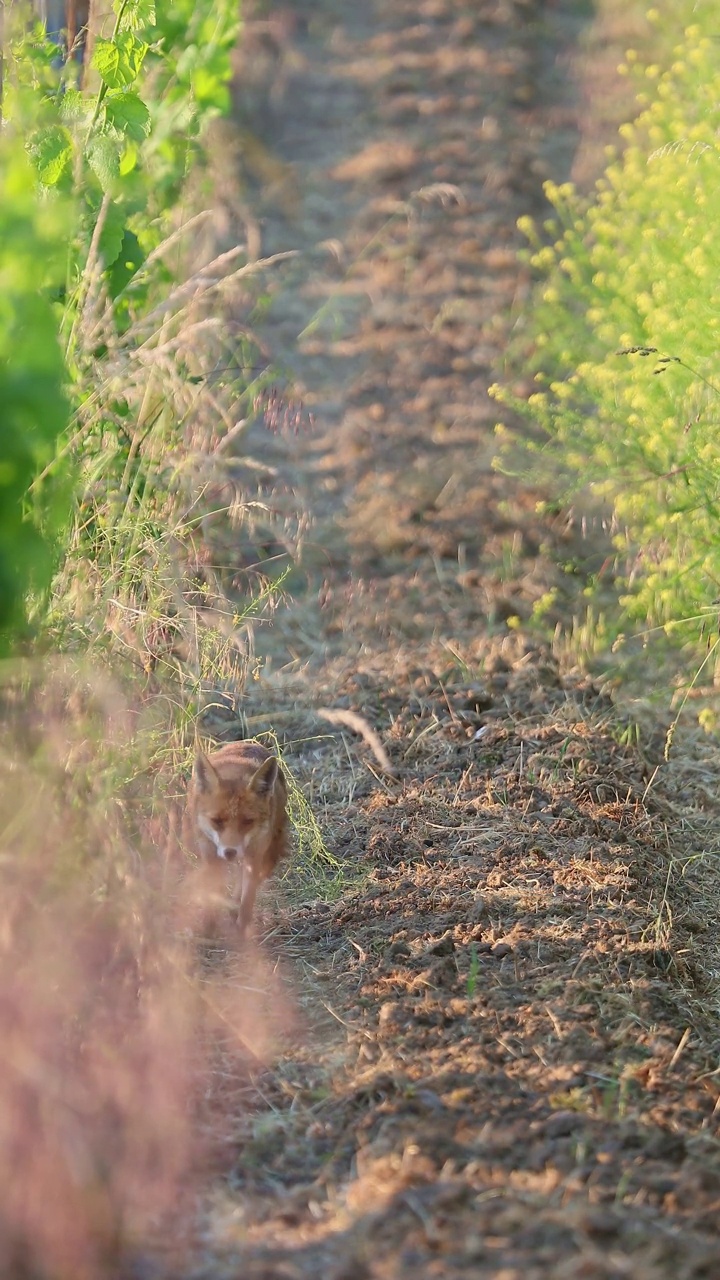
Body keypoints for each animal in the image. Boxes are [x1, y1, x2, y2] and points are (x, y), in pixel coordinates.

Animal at [181, 742, 288, 942]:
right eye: (217, 821)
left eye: (247, 822)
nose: (230, 852)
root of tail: (248, 743)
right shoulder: (210, 854)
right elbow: (213, 893)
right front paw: (208, 929)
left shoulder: (255, 855)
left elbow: (247, 901)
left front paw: (240, 932)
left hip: (267, 854)